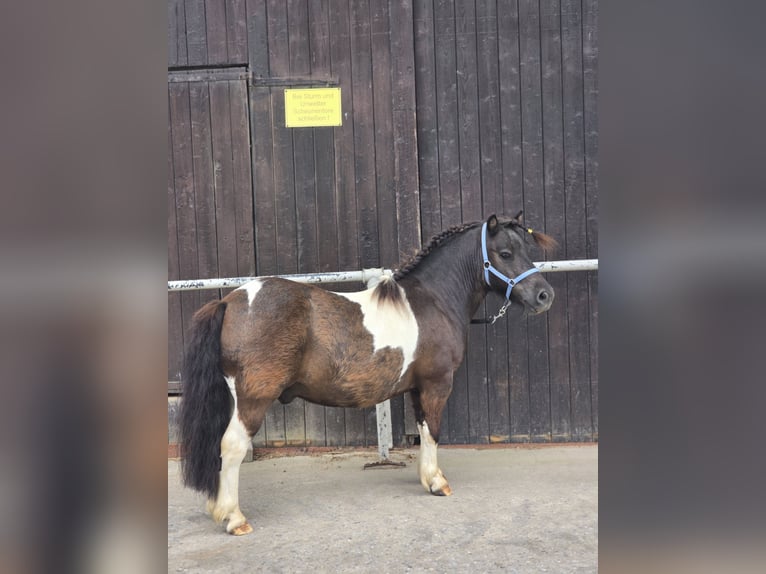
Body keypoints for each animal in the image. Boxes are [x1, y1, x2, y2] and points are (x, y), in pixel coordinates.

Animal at [179, 213, 556, 535]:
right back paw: (234, 518)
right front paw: (437, 483)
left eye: (527, 249)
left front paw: (428, 476)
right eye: (505, 253)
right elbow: (433, 431)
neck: (431, 301)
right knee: (232, 447)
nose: (544, 295)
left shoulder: (417, 388)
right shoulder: (436, 384)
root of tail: (230, 302)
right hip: (253, 398)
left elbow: (423, 429)